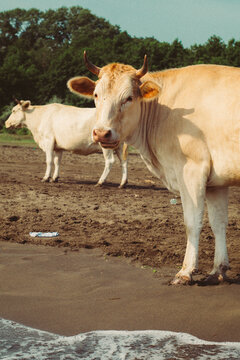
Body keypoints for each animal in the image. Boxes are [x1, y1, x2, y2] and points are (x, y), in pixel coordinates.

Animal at [66, 52, 240, 286]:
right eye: (95, 94)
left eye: (128, 98)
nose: (102, 133)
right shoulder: (217, 181)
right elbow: (218, 223)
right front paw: (218, 270)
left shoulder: (191, 170)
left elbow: (192, 222)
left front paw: (185, 272)